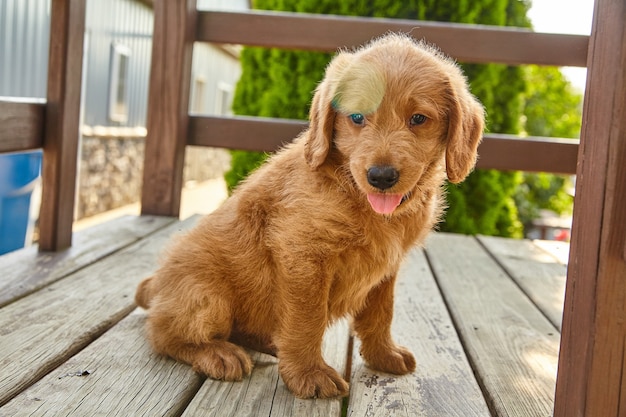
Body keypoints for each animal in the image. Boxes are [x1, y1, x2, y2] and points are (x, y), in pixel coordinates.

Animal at [135, 31, 482, 396]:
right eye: (357, 118)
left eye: (418, 119)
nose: (381, 177)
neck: (355, 195)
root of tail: (157, 286)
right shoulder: (303, 255)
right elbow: (307, 318)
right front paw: (308, 373)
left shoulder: (387, 266)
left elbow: (380, 311)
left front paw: (384, 355)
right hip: (207, 296)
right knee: (163, 333)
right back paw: (216, 353)